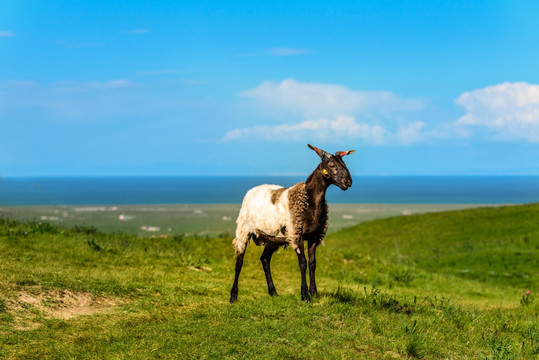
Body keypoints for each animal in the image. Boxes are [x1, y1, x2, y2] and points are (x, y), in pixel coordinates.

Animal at [231, 145, 354, 302]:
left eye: (345, 164)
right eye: (332, 165)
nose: (348, 182)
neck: (309, 199)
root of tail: (252, 190)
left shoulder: (314, 237)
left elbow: (312, 263)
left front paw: (314, 293)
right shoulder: (297, 234)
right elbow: (303, 263)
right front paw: (305, 295)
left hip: (272, 238)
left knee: (264, 259)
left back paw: (273, 292)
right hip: (244, 228)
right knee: (239, 261)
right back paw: (233, 296)